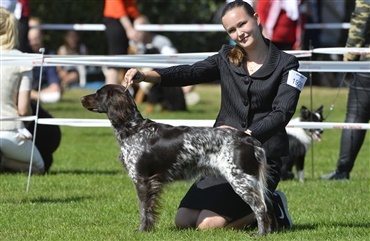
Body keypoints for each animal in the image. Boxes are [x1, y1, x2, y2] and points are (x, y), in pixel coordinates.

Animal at [81, 84, 276, 235]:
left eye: (98, 93)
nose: (82, 98)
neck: (134, 129)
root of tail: (247, 138)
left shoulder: (143, 180)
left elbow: (144, 209)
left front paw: (142, 230)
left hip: (241, 180)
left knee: (260, 208)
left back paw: (261, 233)